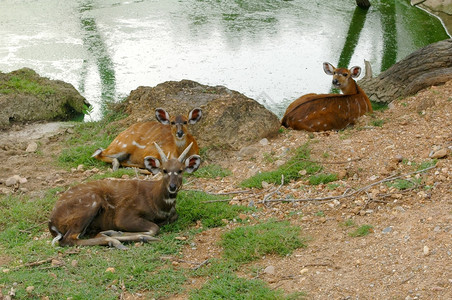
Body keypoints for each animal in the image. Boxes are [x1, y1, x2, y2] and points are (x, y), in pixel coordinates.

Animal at [47, 142, 200, 250]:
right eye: (164, 170)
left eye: (180, 170)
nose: (172, 187)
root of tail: (52, 222)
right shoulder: (124, 216)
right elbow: (154, 228)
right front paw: (117, 233)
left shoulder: (172, 216)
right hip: (90, 203)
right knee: (68, 239)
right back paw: (113, 240)